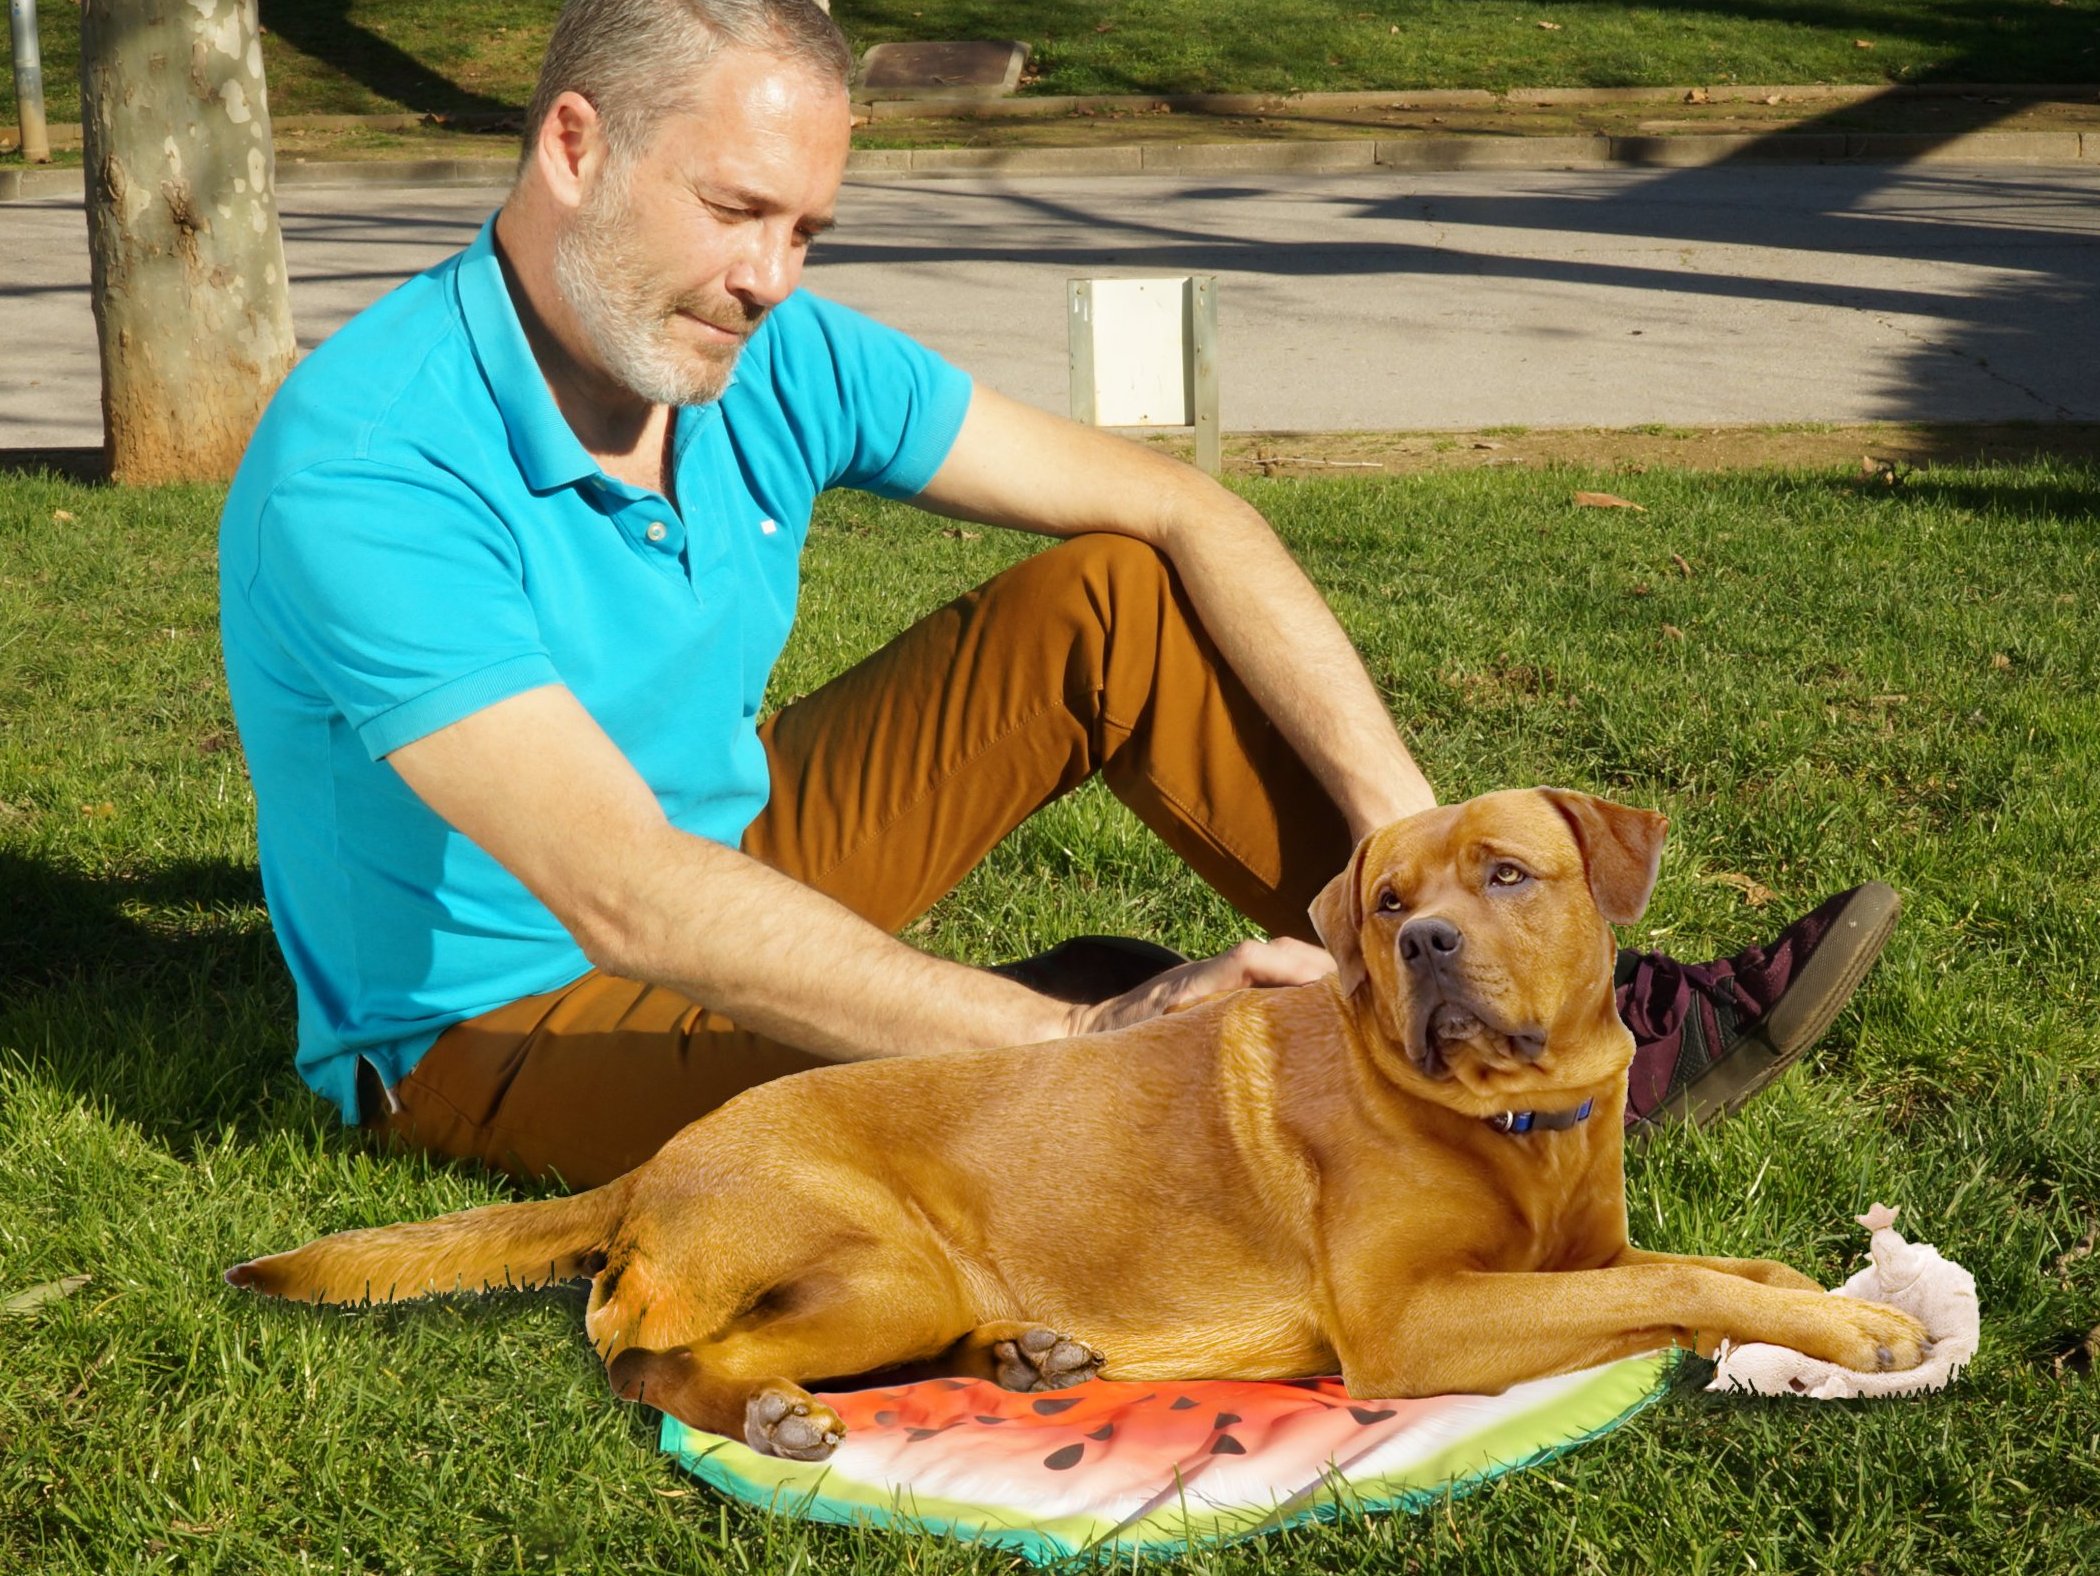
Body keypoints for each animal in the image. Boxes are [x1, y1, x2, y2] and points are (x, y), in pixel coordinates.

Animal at [225, 794, 1923, 1462]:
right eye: (1387, 902)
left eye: (1506, 874)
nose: (1430, 943)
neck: (1517, 1119)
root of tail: (660, 1157)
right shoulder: (1413, 1325)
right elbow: (1679, 1284)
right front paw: (1866, 1335)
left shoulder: (1579, 1253)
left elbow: (1732, 1270)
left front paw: (1824, 1309)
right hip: (876, 1267)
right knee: (652, 1353)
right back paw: (770, 1408)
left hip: (914, 1286)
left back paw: (1025, 1353)